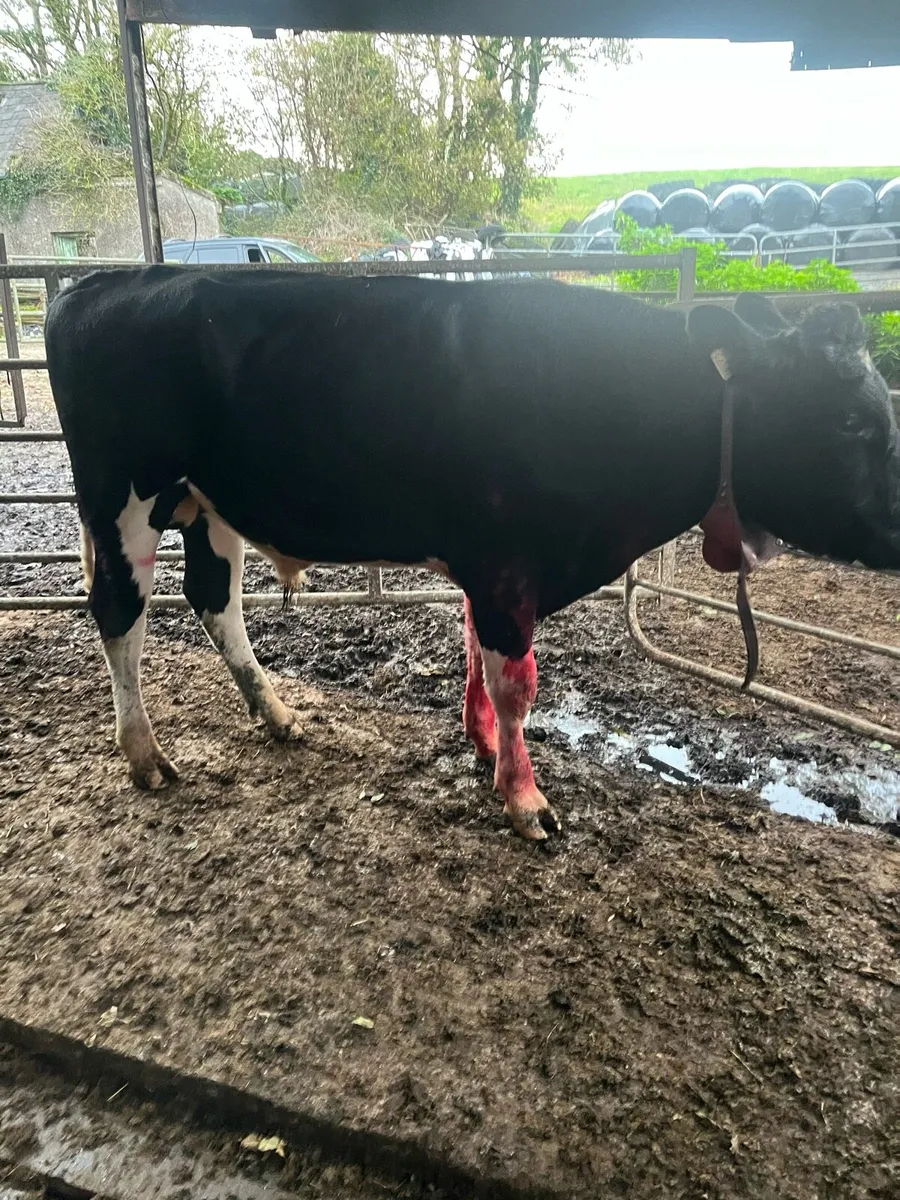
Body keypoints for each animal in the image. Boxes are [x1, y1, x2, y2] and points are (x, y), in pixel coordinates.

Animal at [44, 270, 900, 840]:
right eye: (852, 422)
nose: (897, 531)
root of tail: (107, 280)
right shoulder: (505, 562)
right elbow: (517, 681)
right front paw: (524, 798)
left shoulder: (490, 569)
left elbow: (474, 653)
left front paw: (482, 740)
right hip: (125, 497)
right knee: (120, 612)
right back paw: (145, 754)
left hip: (208, 503)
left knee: (213, 599)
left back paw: (278, 714)